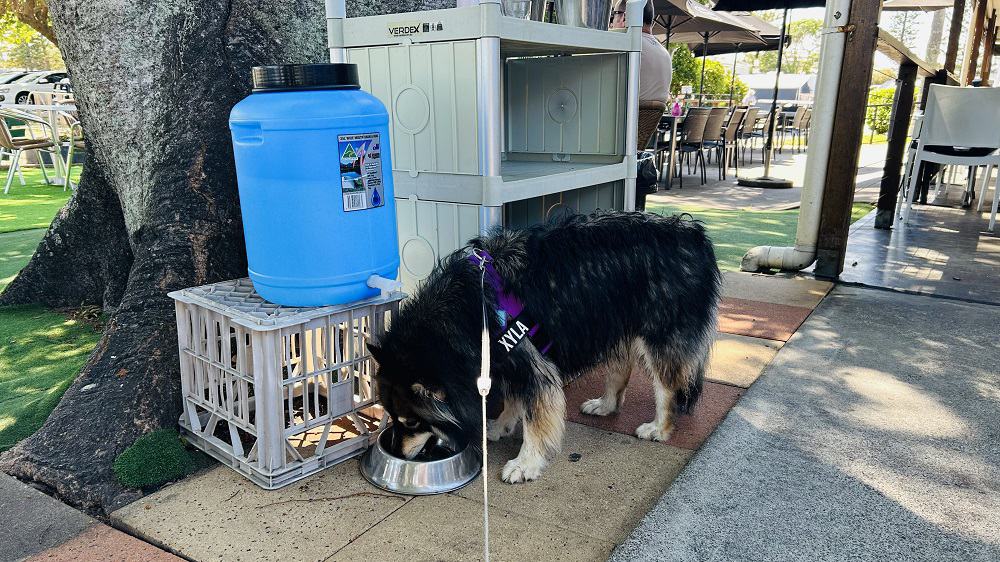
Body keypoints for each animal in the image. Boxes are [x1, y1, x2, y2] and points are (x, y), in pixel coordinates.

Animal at [368, 210, 720, 482]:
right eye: (391, 417)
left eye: (412, 422)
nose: (397, 453)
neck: (465, 310)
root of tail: (694, 235)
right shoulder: (505, 360)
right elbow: (514, 399)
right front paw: (502, 424)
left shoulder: (531, 363)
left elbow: (536, 418)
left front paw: (526, 463)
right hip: (613, 322)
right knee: (620, 370)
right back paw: (605, 405)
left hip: (659, 336)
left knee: (667, 388)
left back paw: (660, 427)